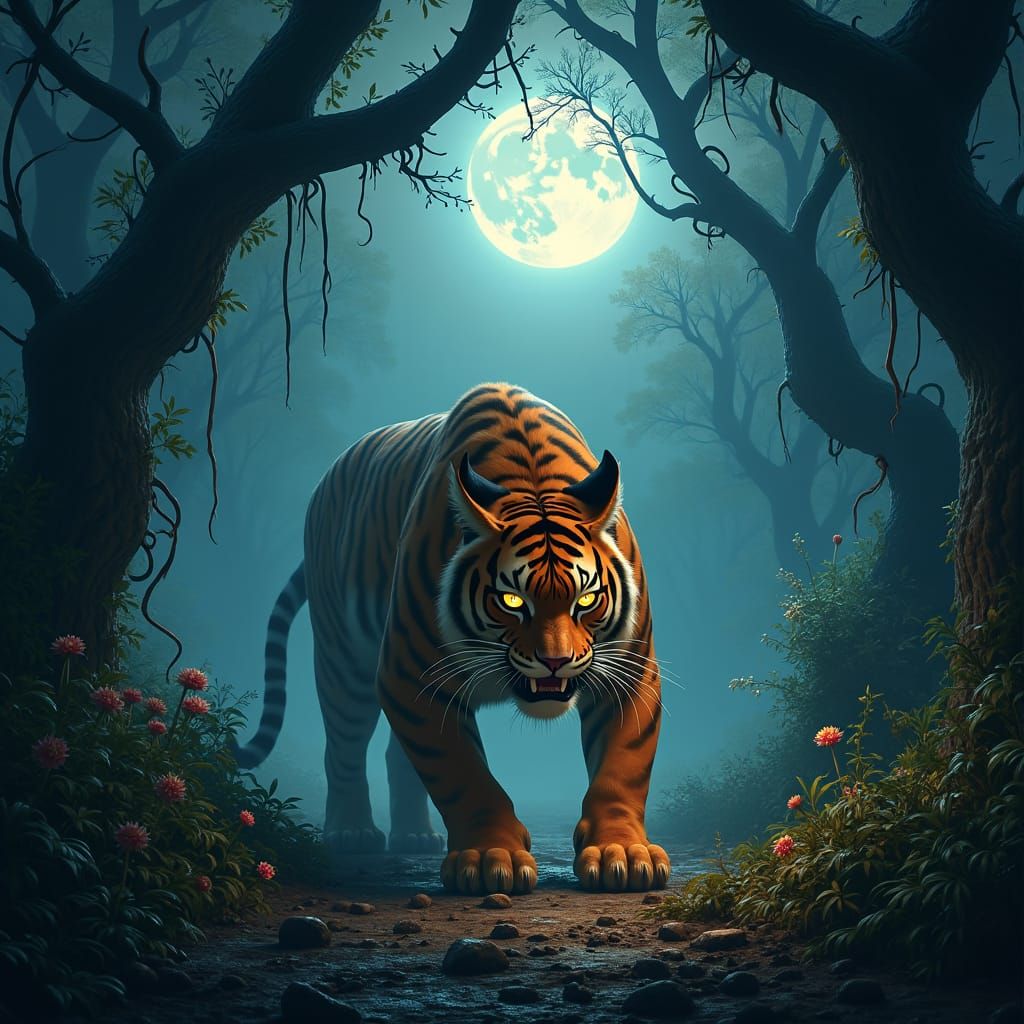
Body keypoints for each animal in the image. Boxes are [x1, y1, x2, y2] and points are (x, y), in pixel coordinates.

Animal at [234, 383, 670, 894]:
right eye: (512, 600)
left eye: (586, 599)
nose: (555, 662)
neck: (532, 480)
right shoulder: (410, 673)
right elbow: (462, 773)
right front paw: (490, 858)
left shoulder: (630, 670)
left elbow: (622, 768)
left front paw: (623, 852)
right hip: (344, 660)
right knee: (344, 744)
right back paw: (352, 832)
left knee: (395, 753)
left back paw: (414, 836)